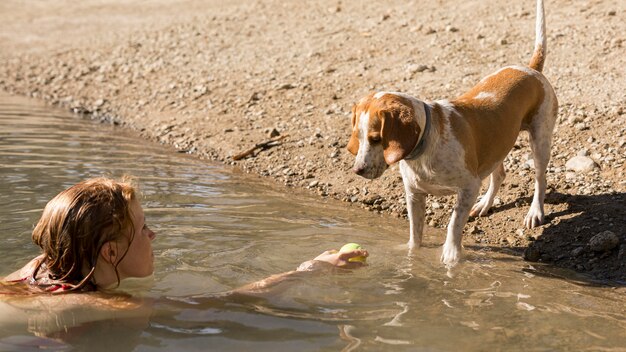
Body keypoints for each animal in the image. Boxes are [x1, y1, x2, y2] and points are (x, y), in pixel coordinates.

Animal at [346, 0, 556, 266]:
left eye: (376, 139)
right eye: (359, 138)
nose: (358, 170)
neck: (426, 145)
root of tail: (530, 70)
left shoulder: (469, 187)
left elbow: (454, 224)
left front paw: (451, 256)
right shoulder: (414, 195)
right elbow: (415, 233)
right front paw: (412, 257)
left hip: (540, 140)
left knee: (540, 179)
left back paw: (535, 212)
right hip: (495, 147)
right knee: (499, 174)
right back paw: (485, 204)